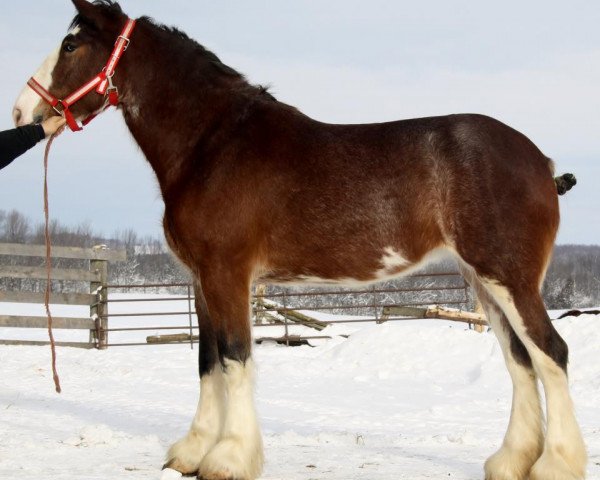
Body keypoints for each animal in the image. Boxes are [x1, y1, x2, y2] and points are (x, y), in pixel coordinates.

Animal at [12, 0, 584, 480]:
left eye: (70, 45)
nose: (21, 113)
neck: (212, 144)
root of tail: (541, 162)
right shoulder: (202, 279)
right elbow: (207, 360)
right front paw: (193, 452)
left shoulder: (227, 273)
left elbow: (235, 357)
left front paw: (229, 458)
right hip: (483, 283)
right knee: (520, 360)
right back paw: (510, 461)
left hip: (507, 278)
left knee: (550, 353)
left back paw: (556, 464)